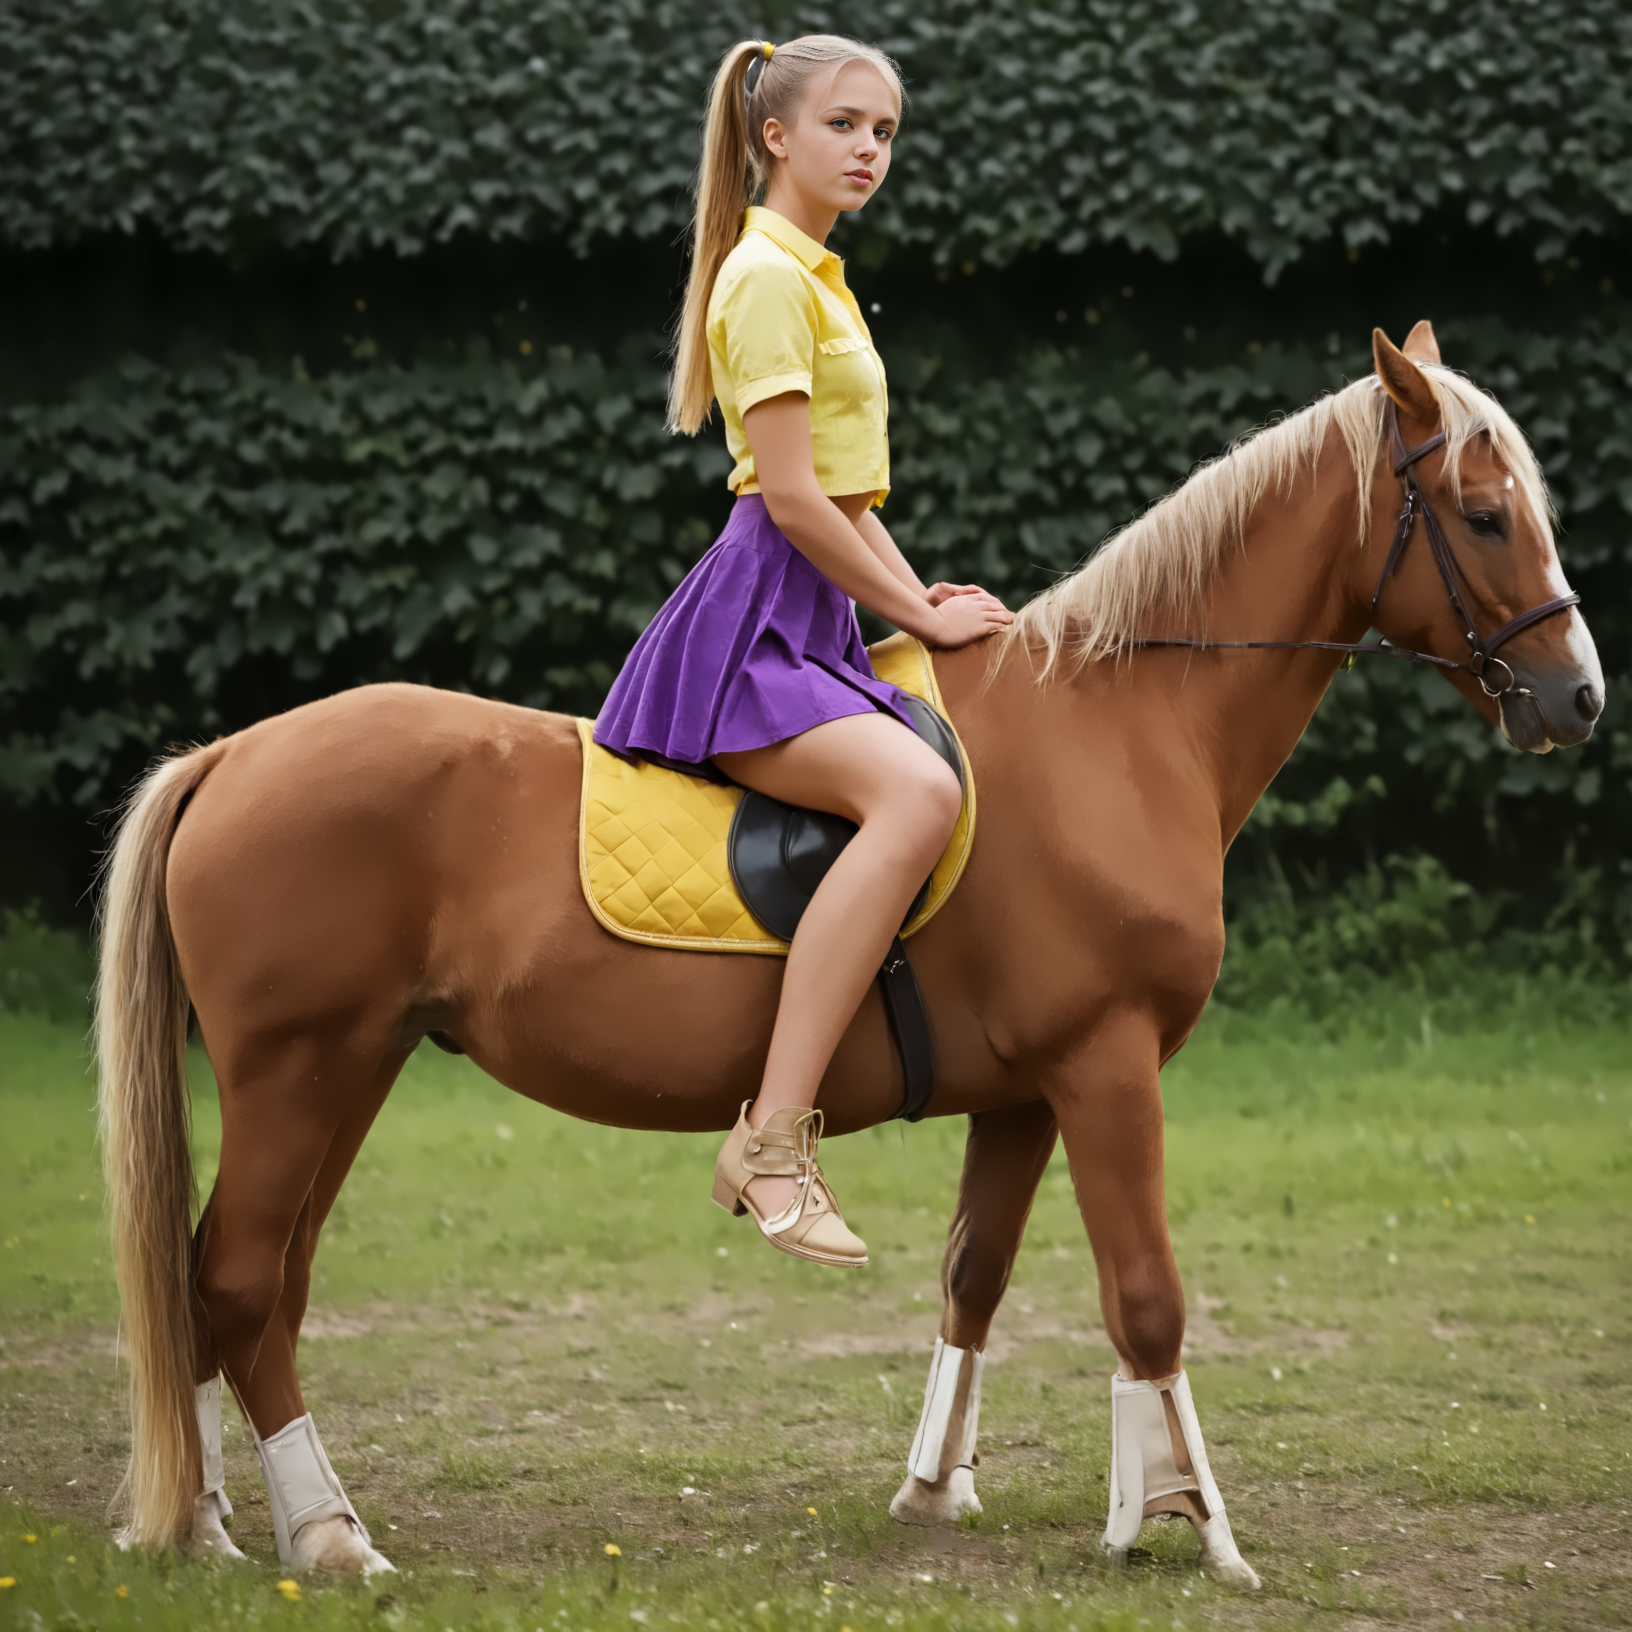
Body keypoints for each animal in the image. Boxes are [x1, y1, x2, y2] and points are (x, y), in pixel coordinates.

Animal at [96, 323, 1602, 1586]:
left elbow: (975, 1280)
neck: (1118, 725)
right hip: (302, 1072)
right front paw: (1194, 1525)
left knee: (243, 1289)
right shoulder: (1107, 1066)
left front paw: (950, 1489)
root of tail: (231, 756)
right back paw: (329, 1536)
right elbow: (1149, 1299)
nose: (1579, 696)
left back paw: (225, 1523)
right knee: (238, 1284)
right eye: (1483, 515)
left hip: (349, 1072)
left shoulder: (1027, 1094)